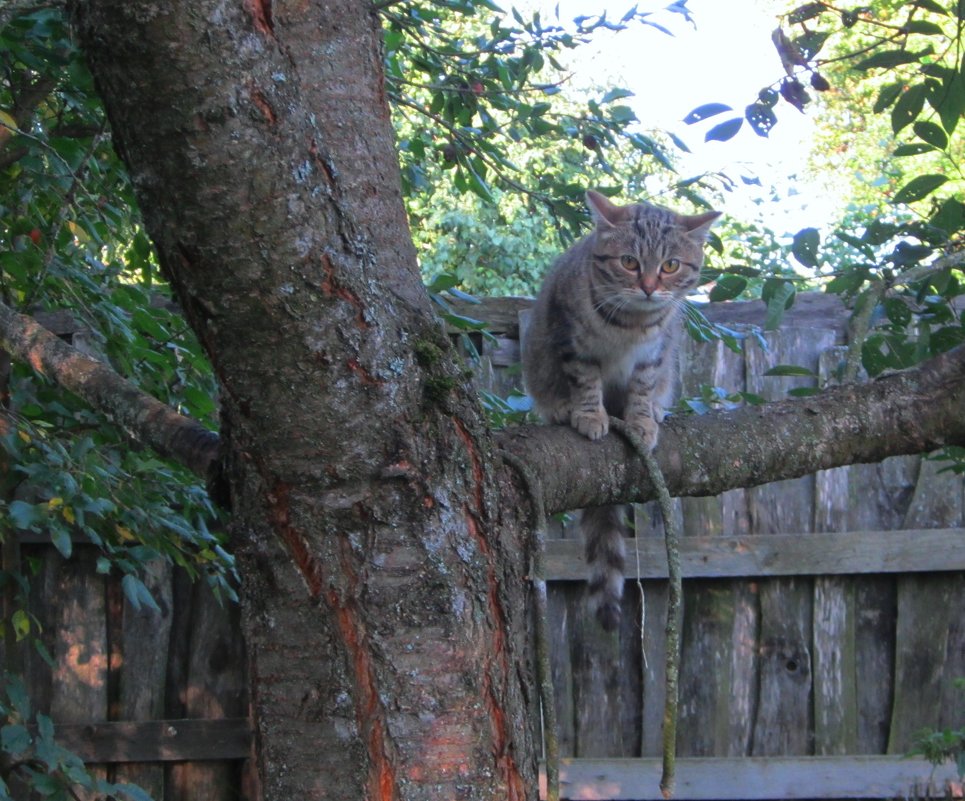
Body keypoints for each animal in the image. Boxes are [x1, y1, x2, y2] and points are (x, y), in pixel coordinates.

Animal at [524, 189, 720, 632]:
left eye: (670, 265)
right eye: (629, 262)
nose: (648, 287)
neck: (630, 324)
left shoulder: (654, 355)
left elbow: (643, 388)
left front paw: (643, 421)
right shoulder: (572, 342)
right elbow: (585, 381)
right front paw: (588, 413)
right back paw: (562, 408)